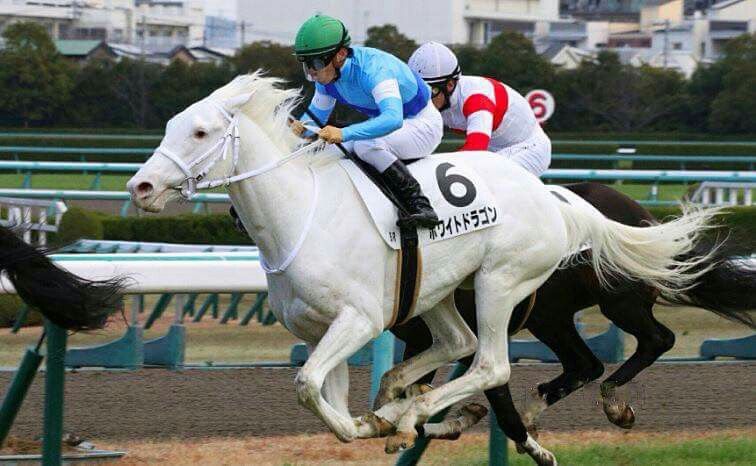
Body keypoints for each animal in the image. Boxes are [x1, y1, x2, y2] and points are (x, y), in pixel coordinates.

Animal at [126, 73, 720, 453]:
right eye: (170, 126)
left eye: (200, 132)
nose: (141, 187)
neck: (302, 215)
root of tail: (554, 199)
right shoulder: (321, 327)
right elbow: (323, 392)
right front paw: (372, 423)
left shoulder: (360, 318)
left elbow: (306, 382)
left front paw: (392, 422)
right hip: (443, 290)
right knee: (466, 344)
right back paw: (405, 404)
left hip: (505, 283)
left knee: (494, 362)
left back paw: (420, 410)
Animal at [391, 182, 756, 464]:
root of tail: (643, 216)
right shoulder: (422, 342)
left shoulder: (473, 341)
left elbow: (501, 409)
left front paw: (538, 452)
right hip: (551, 317)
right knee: (586, 364)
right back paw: (541, 407)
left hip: (617, 300)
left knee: (657, 340)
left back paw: (611, 403)